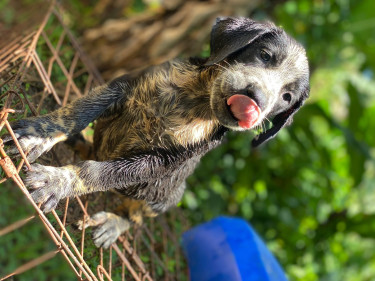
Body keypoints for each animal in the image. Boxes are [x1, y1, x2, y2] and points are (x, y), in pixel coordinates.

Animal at [5, 17, 312, 247]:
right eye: (265, 55)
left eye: (286, 97)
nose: (256, 102)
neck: (193, 99)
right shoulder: (122, 86)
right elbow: (79, 112)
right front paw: (39, 134)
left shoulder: (160, 162)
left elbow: (97, 172)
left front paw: (58, 181)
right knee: (91, 148)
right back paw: (79, 143)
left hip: (167, 196)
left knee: (135, 216)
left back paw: (113, 224)